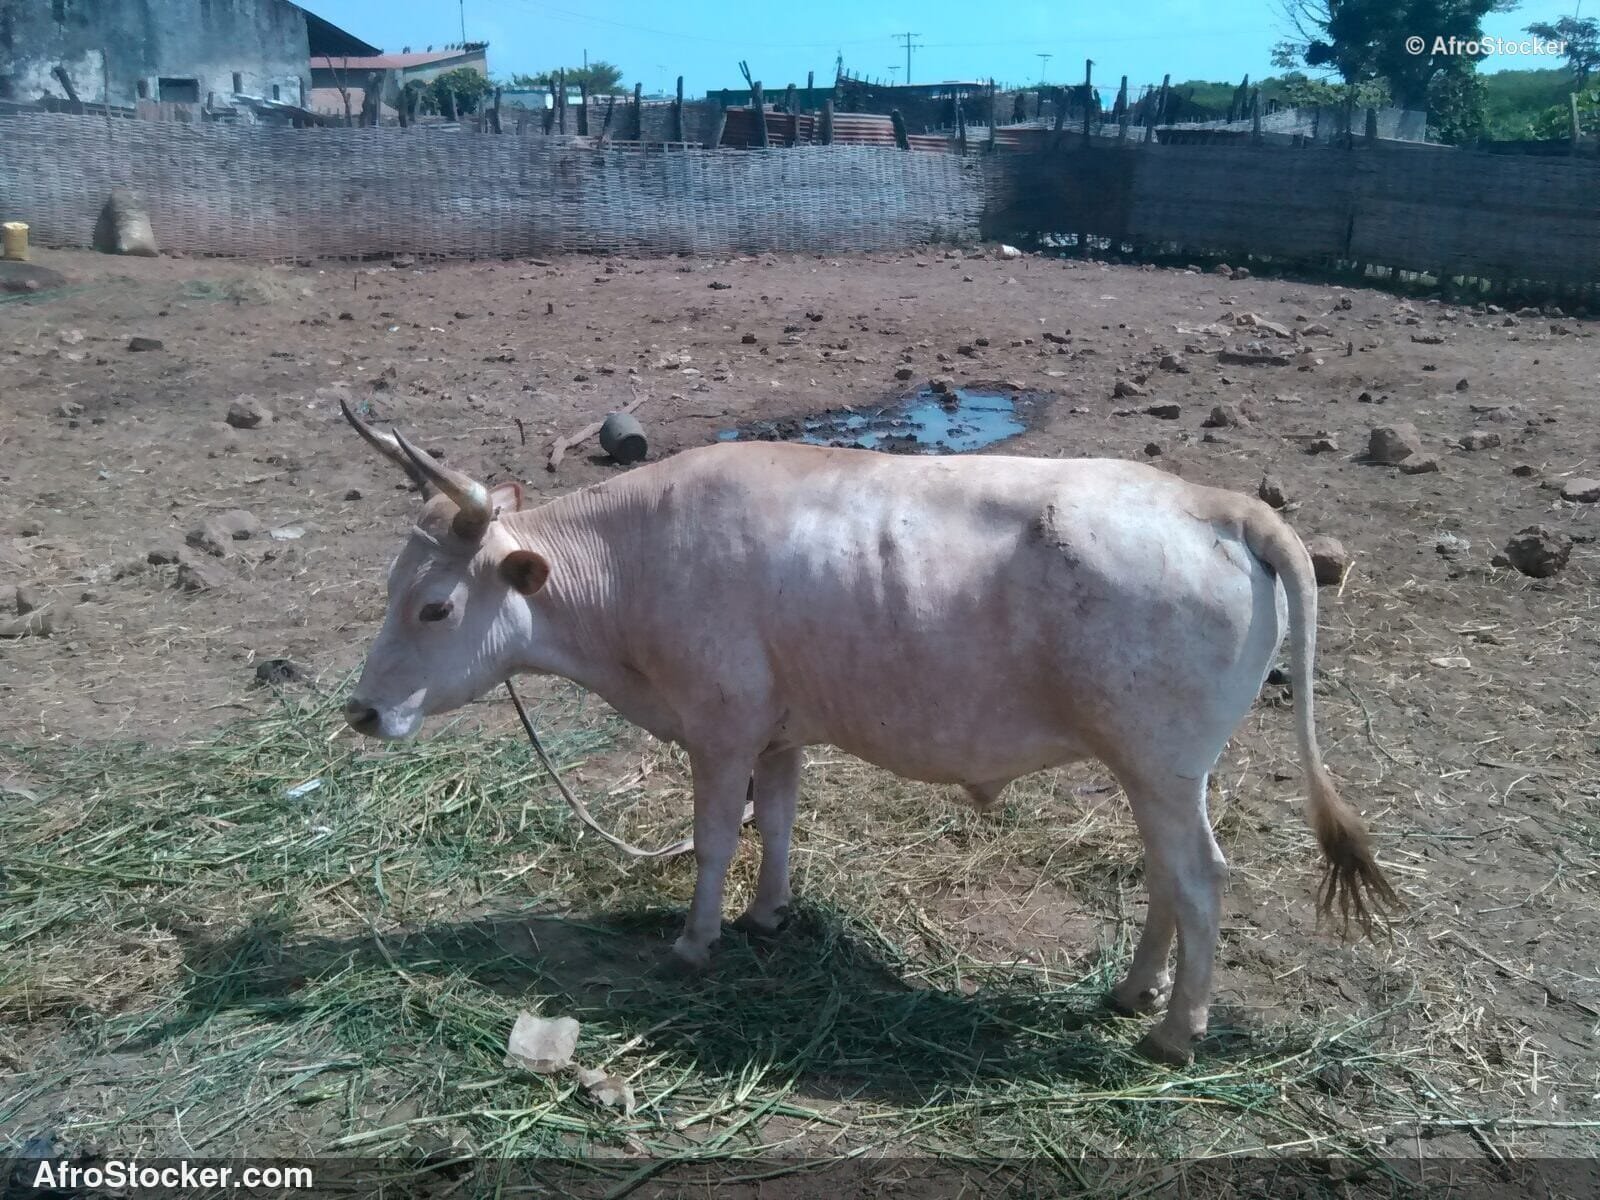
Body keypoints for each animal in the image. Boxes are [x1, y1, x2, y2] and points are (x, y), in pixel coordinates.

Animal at [337, 399, 1396, 1065]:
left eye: (435, 606)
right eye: (391, 588)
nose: (361, 712)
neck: (632, 562)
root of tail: (1221, 504)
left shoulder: (719, 728)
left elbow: (717, 839)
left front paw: (694, 942)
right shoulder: (780, 730)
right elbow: (778, 822)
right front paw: (769, 916)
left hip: (1166, 764)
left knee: (1201, 878)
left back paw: (1173, 1032)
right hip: (1154, 770)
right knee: (1169, 877)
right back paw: (1133, 991)